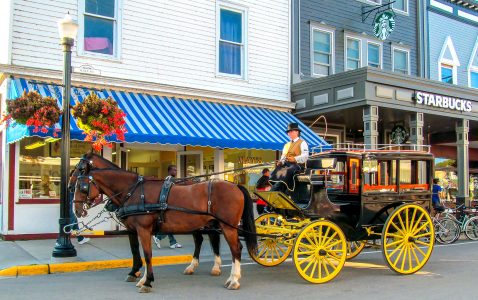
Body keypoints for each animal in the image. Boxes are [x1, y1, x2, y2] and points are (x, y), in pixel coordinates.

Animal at [70, 155, 256, 292]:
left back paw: (233, 280)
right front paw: (140, 276)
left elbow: (147, 254)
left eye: (82, 184)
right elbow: (139, 252)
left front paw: (147, 282)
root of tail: (236, 186)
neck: (133, 191)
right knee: (206, 241)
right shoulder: (136, 229)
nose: (77, 210)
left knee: (236, 249)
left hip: (228, 226)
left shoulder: (143, 229)